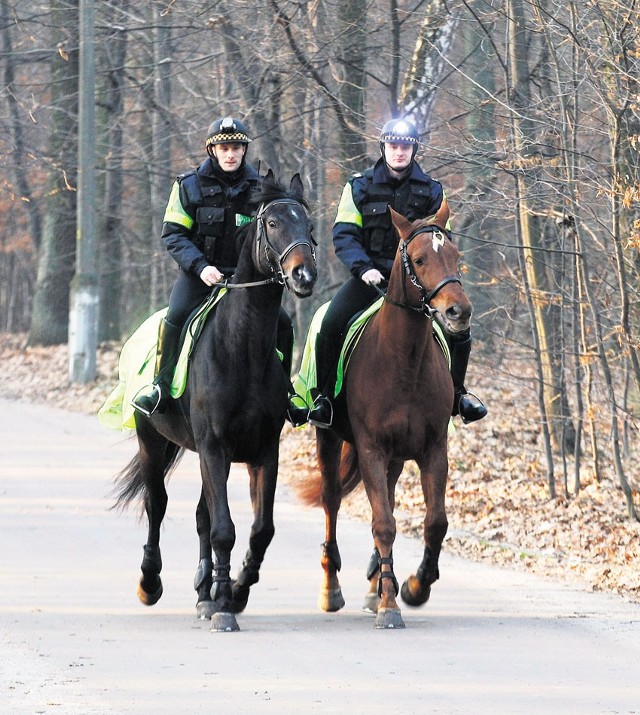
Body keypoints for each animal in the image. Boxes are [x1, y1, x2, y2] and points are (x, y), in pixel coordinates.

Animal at [114, 173, 318, 632]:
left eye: (308, 222)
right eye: (273, 223)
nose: (304, 275)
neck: (241, 351)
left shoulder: (264, 452)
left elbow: (259, 529)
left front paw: (234, 591)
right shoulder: (214, 446)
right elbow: (223, 528)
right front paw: (225, 605)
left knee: (200, 516)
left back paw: (203, 592)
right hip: (153, 440)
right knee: (157, 504)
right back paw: (150, 583)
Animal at [298, 208, 470, 632]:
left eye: (455, 254)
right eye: (420, 259)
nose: (458, 312)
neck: (403, 360)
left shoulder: (433, 450)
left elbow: (435, 521)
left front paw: (413, 587)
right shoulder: (371, 450)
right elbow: (384, 524)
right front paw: (390, 605)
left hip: (395, 458)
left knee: (388, 498)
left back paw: (376, 582)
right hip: (330, 441)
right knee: (332, 501)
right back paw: (333, 588)